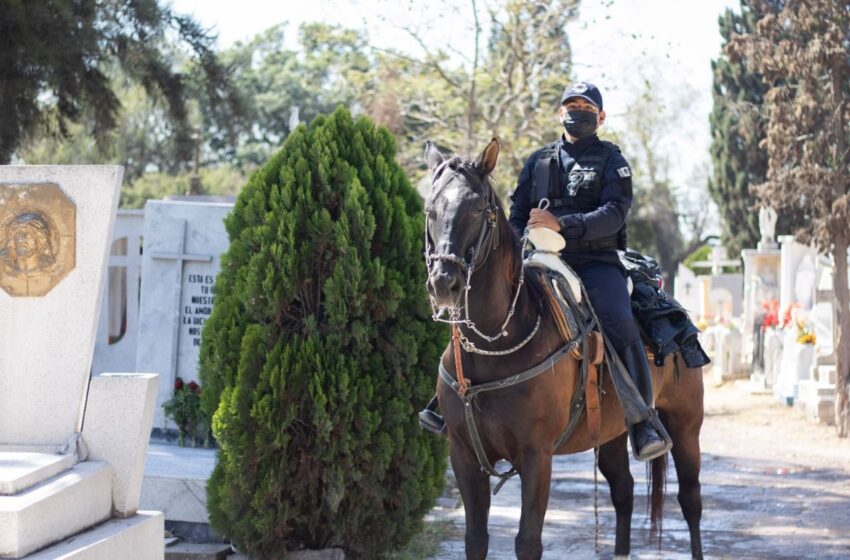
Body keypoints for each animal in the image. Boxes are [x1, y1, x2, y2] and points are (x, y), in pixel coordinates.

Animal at [424, 137, 704, 560]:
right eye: (430, 209)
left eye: (476, 209)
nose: (444, 282)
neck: (494, 347)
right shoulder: (464, 455)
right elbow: (475, 539)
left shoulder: (536, 457)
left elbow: (528, 541)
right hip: (611, 434)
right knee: (624, 493)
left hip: (686, 425)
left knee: (690, 502)